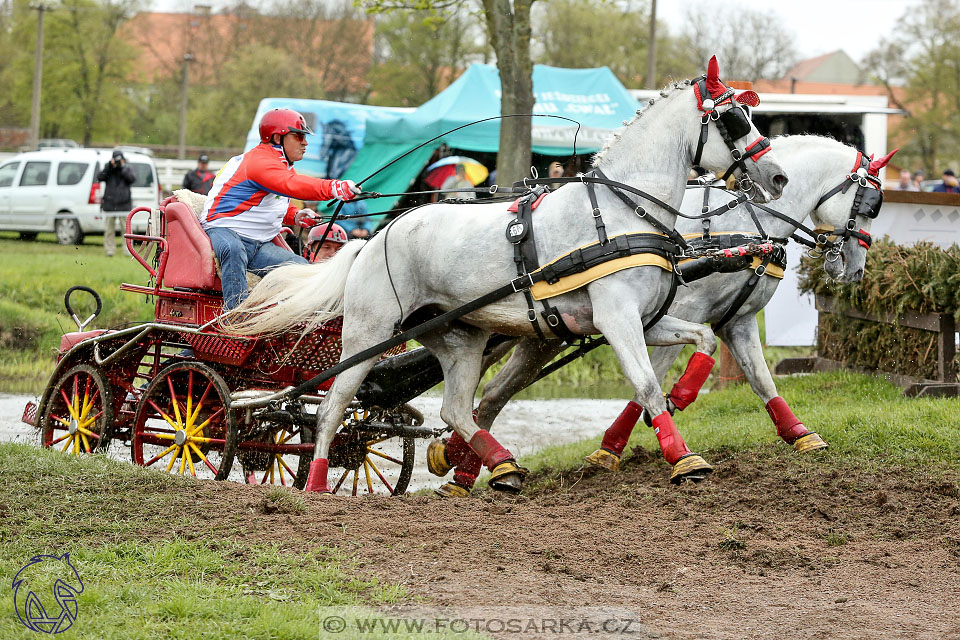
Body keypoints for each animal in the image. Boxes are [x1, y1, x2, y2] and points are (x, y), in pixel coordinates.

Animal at [225, 56, 788, 496]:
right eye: (733, 119)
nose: (777, 175)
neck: (619, 212)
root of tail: (375, 237)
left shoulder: (646, 320)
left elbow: (703, 343)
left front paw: (687, 394)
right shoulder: (618, 319)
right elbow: (648, 386)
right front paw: (684, 458)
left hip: (460, 338)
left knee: (456, 408)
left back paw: (502, 466)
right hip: (367, 332)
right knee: (332, 405)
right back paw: (318, 483)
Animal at [428, 135, 892, 496]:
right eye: (869, 204)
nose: (854, 268)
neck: (743, 226)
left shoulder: (737, 322)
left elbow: (763, 381)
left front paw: (800, 434)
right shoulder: (674, 312)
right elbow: (646, 385)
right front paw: (617, 445)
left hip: (543, 334)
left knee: (491, 395)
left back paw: (460, 465)